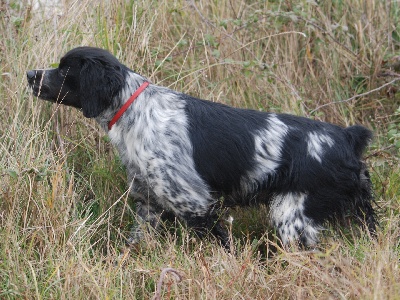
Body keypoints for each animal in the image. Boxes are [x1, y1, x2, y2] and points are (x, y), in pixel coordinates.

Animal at [26, 47, 376, 248]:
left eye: (65, 68)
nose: (30, 74)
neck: (134, 109)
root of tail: (347, 137)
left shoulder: (194, 203)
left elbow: (218, 244)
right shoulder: (149, 202)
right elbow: (136, 241)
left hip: (292, 217)